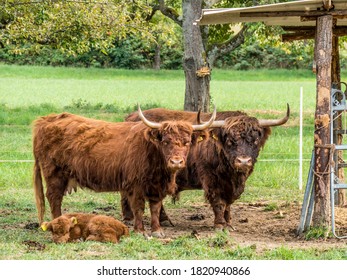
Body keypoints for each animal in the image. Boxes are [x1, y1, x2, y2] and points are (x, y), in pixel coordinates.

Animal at [33, 106, 218, 237]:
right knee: (54, 198)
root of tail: (47, 119)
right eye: (166, 141)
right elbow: (138, 208)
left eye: (186, 142)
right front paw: (140, 231)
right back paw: (58, 222)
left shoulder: (157, 187)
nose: (176, 162)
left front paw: (157, 231)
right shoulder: (135, 186)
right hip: (54, 174)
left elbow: (155, 207)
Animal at [122, 105, 290, 230]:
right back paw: (129, 217)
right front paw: (220, 225)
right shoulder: (211, 180)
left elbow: (228, 204)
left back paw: (163, 220)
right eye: (230, 141)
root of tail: (130, 117)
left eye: (255, 141)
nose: (243, 161)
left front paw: (229, 223)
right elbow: (218, 202)